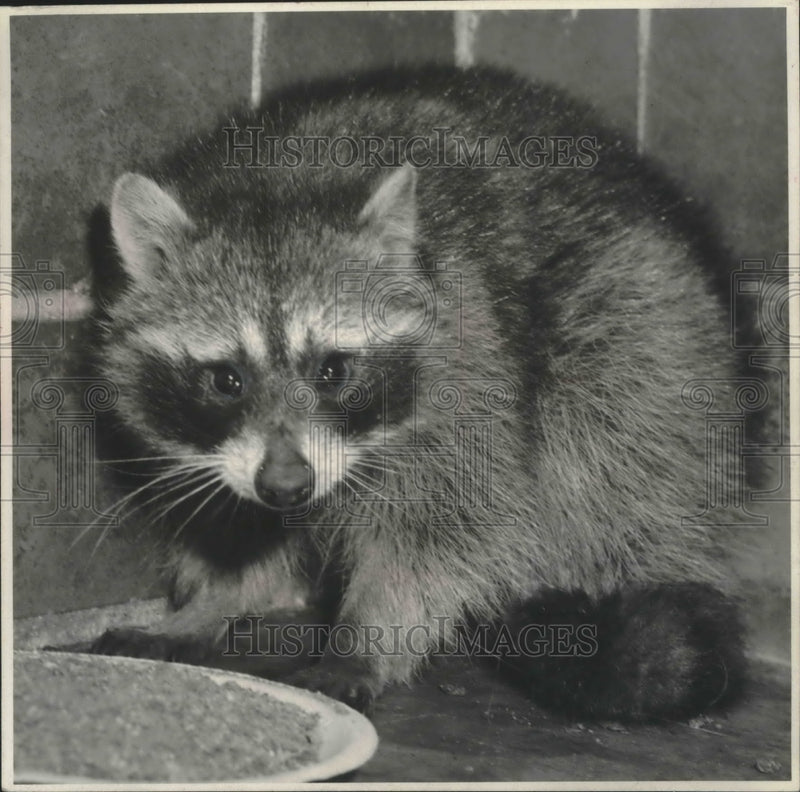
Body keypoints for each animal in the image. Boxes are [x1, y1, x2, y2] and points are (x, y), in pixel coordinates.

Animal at [91, 65, 749, 719]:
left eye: (333, 370)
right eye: (228, 379)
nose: (287, 486)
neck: (274, 185)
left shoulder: (468, 373)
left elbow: (447, 528)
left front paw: (367, 637)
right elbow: (236, 522)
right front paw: (216, 599)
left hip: (647, 321)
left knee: (606, 429)